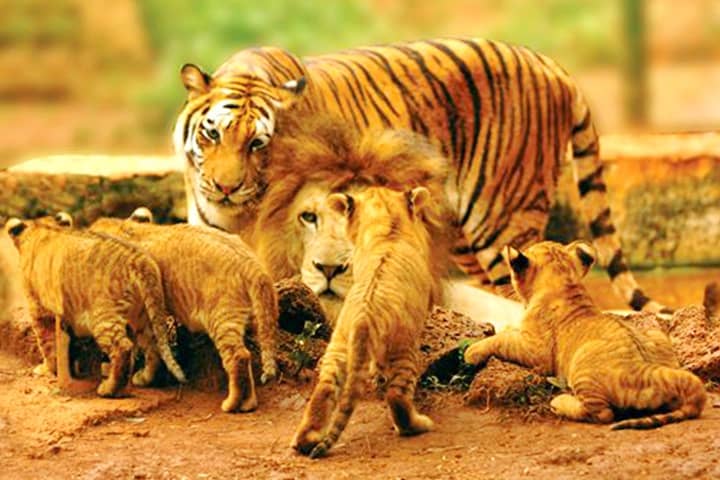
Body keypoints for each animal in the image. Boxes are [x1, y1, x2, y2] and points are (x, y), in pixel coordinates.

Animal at [4, 216, 186, 396]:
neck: (44, 228)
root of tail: (139, 259)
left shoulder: (39, 309)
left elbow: (47, 344)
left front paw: (46, 369)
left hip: (103, 315)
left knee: (123, 347)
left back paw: (108, 389)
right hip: (142, 314)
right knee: (153, 343)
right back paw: (143, 378)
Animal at [89, 210, 278, 412]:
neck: (125, 230)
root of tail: (253, 265)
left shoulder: (140, 310)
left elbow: (146, 344)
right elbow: (151, 345)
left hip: (222, 316)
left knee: (238, 356)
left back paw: (231, 404)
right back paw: (248, 403)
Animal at [174, 38, 668, 316]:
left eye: (258, 144)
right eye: (212, 132)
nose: (225, 187)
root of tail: (551, 64)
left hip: (501, 224)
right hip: (467, 235)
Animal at [462, 242, 704, 430]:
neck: (566, 283)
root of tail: (649, 370)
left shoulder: (537, 353)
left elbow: (503, 340)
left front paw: (471, 351)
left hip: (581, 362)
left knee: (602, 413)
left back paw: (559, 401)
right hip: (655, 333)